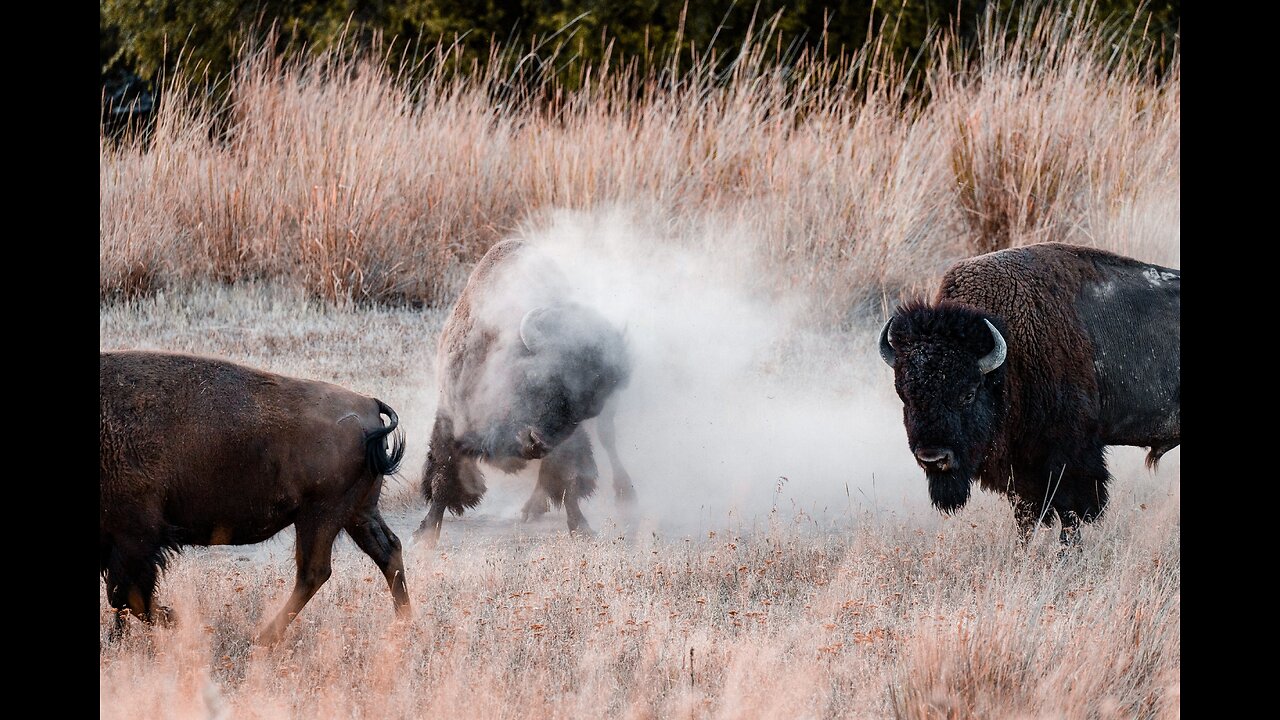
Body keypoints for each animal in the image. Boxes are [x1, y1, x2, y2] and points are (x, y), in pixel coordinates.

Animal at [100, 348, 409, 638]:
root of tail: (369, 404)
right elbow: (122, 598)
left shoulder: (136, 536)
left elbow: (126, 597)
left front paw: (178, 622)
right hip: (357, 512)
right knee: (387, 550)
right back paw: (404, 622)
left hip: (321, 515)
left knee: (314, 572)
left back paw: (263, 639)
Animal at [414, 238, 634, 545]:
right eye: (539, 378)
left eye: (584, 410)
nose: (537, 442)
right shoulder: (450, 416)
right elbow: (443, 476)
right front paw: (424, 536)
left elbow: (569, 479)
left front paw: (581, 528)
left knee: (607, 441)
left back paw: (623, 492)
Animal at [880, 242, 1177, 543]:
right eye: (904, 396)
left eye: (968, 394)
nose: (933, 458)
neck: (1011, 351)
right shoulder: (1021, 469)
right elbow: (1026, 516)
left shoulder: (1069, 457)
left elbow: (1070, 513)